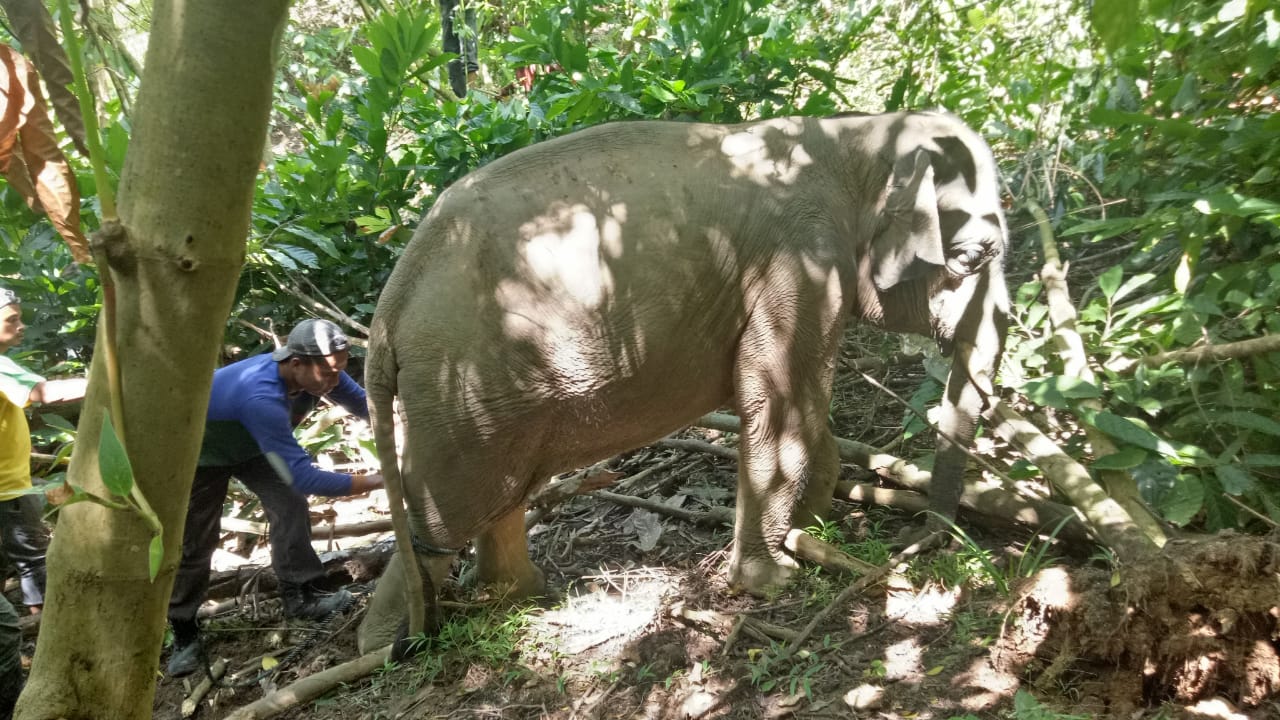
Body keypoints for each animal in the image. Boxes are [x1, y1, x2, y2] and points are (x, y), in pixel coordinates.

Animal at [357, 111, 1010, 653]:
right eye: (976, 256)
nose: (926, 542)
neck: (859, 134)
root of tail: (390, 306)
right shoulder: (800, 265)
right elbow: (779, 402)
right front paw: (771, 580)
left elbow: (802, 408)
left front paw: (812, 526)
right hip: (461, 392)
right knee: (446, 514)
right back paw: (387, 645)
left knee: (501, 494)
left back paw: (524, 596)